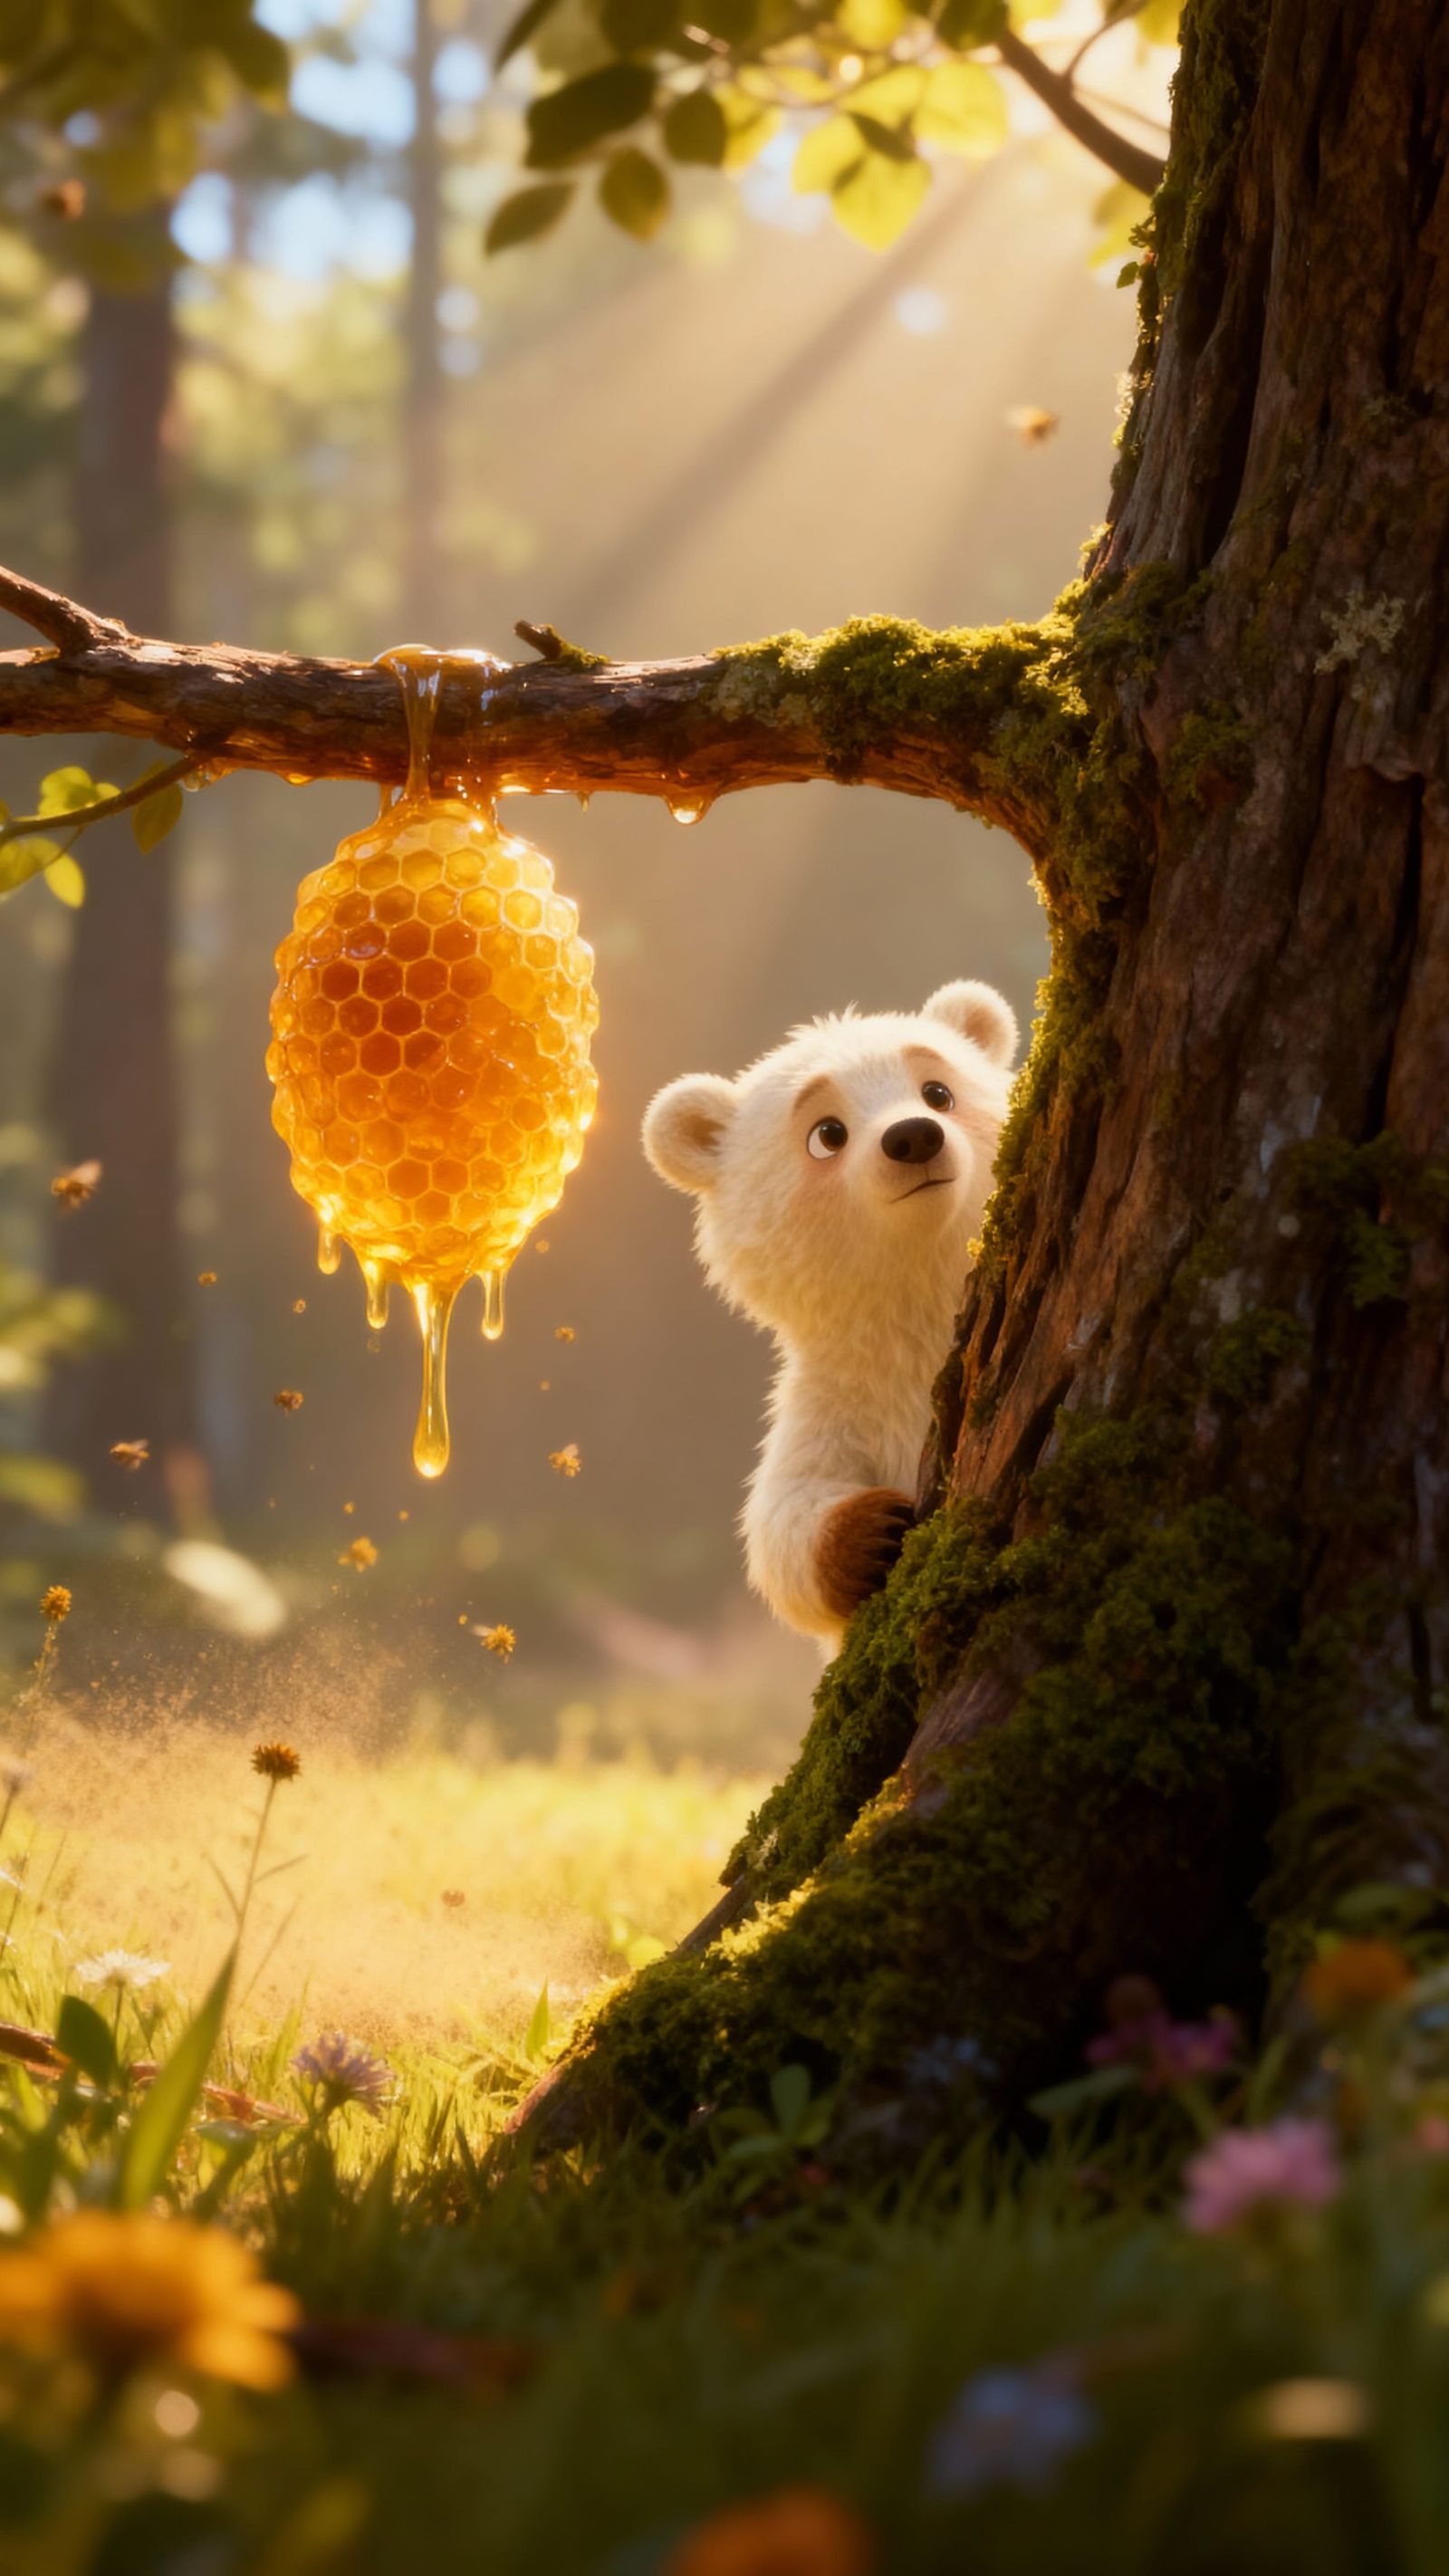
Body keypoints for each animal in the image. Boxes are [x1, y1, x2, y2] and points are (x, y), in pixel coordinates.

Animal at [642, 978, 1018, 1650]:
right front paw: (870, 1531)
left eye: (938, 1090)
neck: (918, 1308)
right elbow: (784, 1514)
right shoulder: (842, 1399)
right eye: (826, 1132)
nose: (913, 1137)